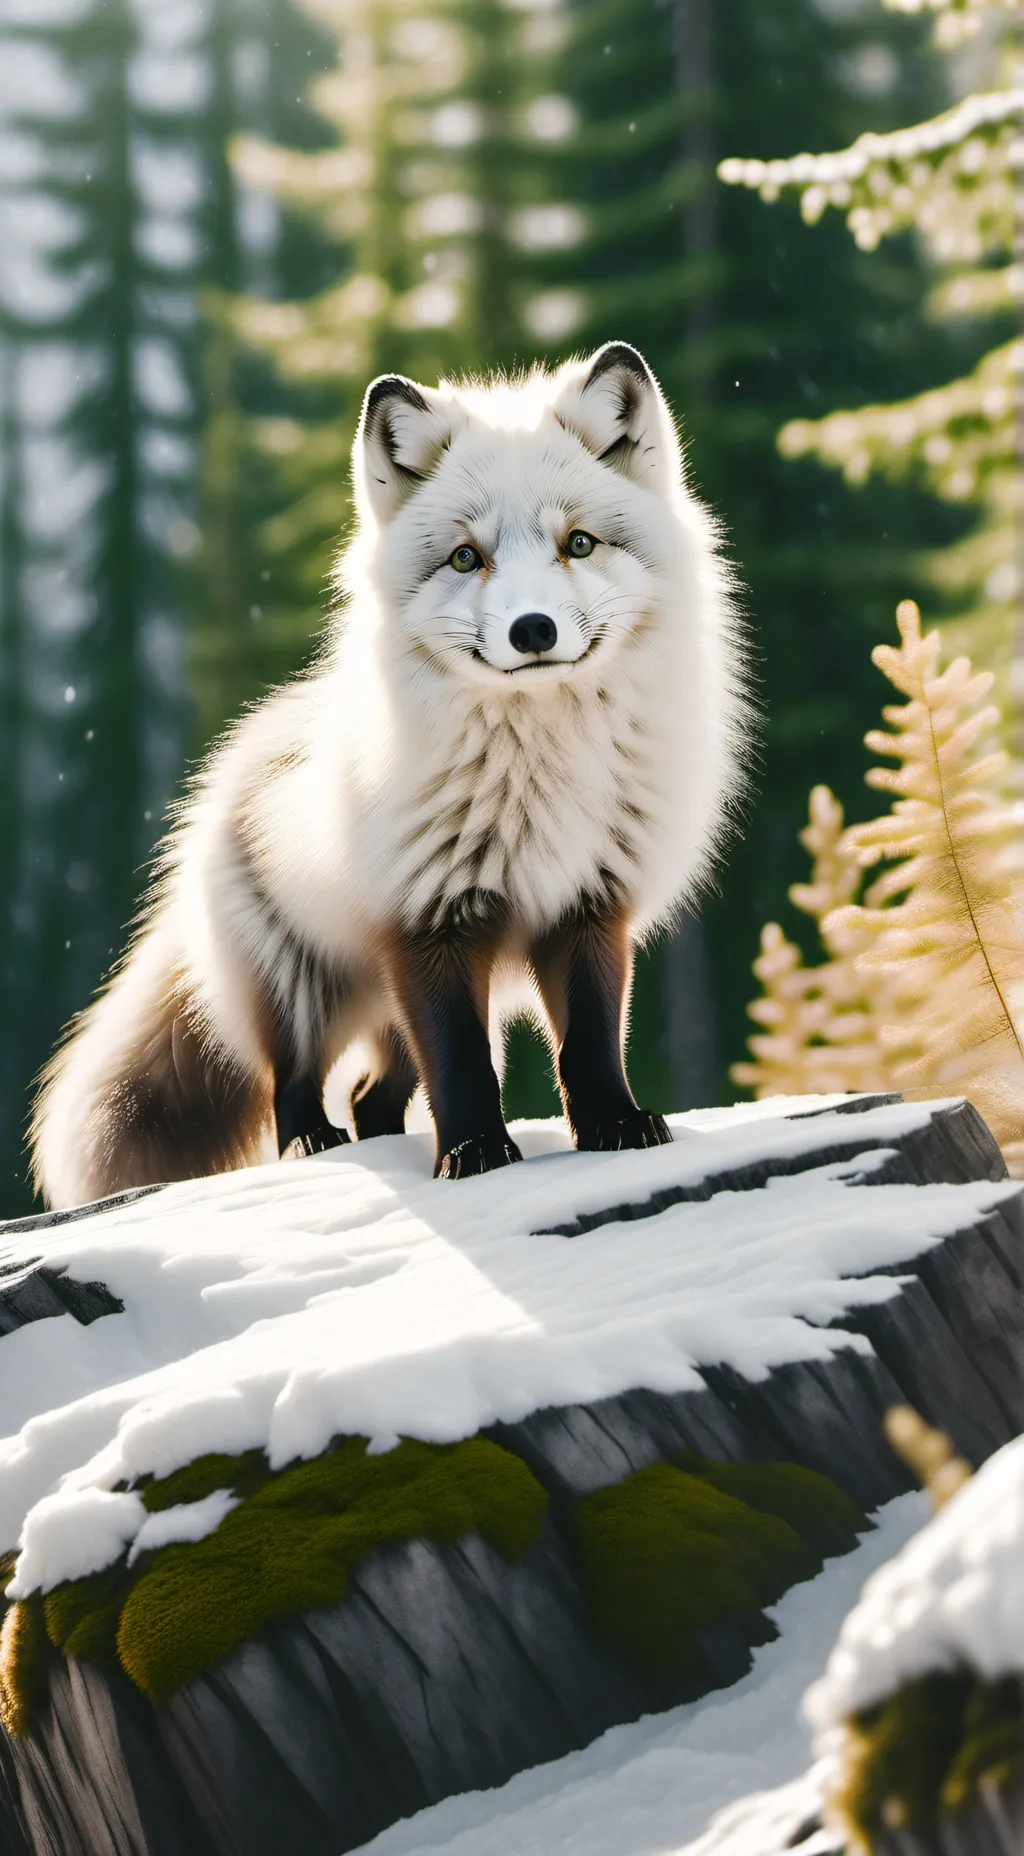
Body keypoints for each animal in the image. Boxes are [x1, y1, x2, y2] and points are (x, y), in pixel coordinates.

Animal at [30, 342, 749, 1208]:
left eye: (578, 544)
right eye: (467, 557)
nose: (532, 630)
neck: (541, 777)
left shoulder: (589, 906)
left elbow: (589, 1046)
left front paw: (615, 1127)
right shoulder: (428, 923)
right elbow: (464, 1067)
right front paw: (474, 1155)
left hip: (389, 1011)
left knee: (377, 1098)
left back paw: (378, 1140)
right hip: (300, 994)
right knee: (295, 1085)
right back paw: (313, 1145)